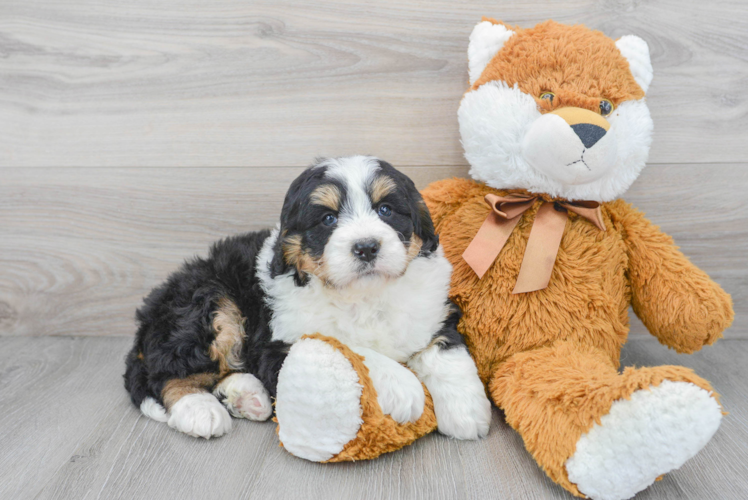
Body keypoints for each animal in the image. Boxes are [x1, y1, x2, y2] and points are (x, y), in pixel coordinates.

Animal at [125, 156, 494, 442]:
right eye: (328, 218)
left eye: (386, 210)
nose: (366, 247)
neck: (363, 296)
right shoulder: (284, 344)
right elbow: (350, 350)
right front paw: (406, 389)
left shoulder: (432, 311)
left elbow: (446, 352)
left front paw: (467, 411)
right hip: (207, 304)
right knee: (166, 373)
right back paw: (200, 410)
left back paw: (247, 396)